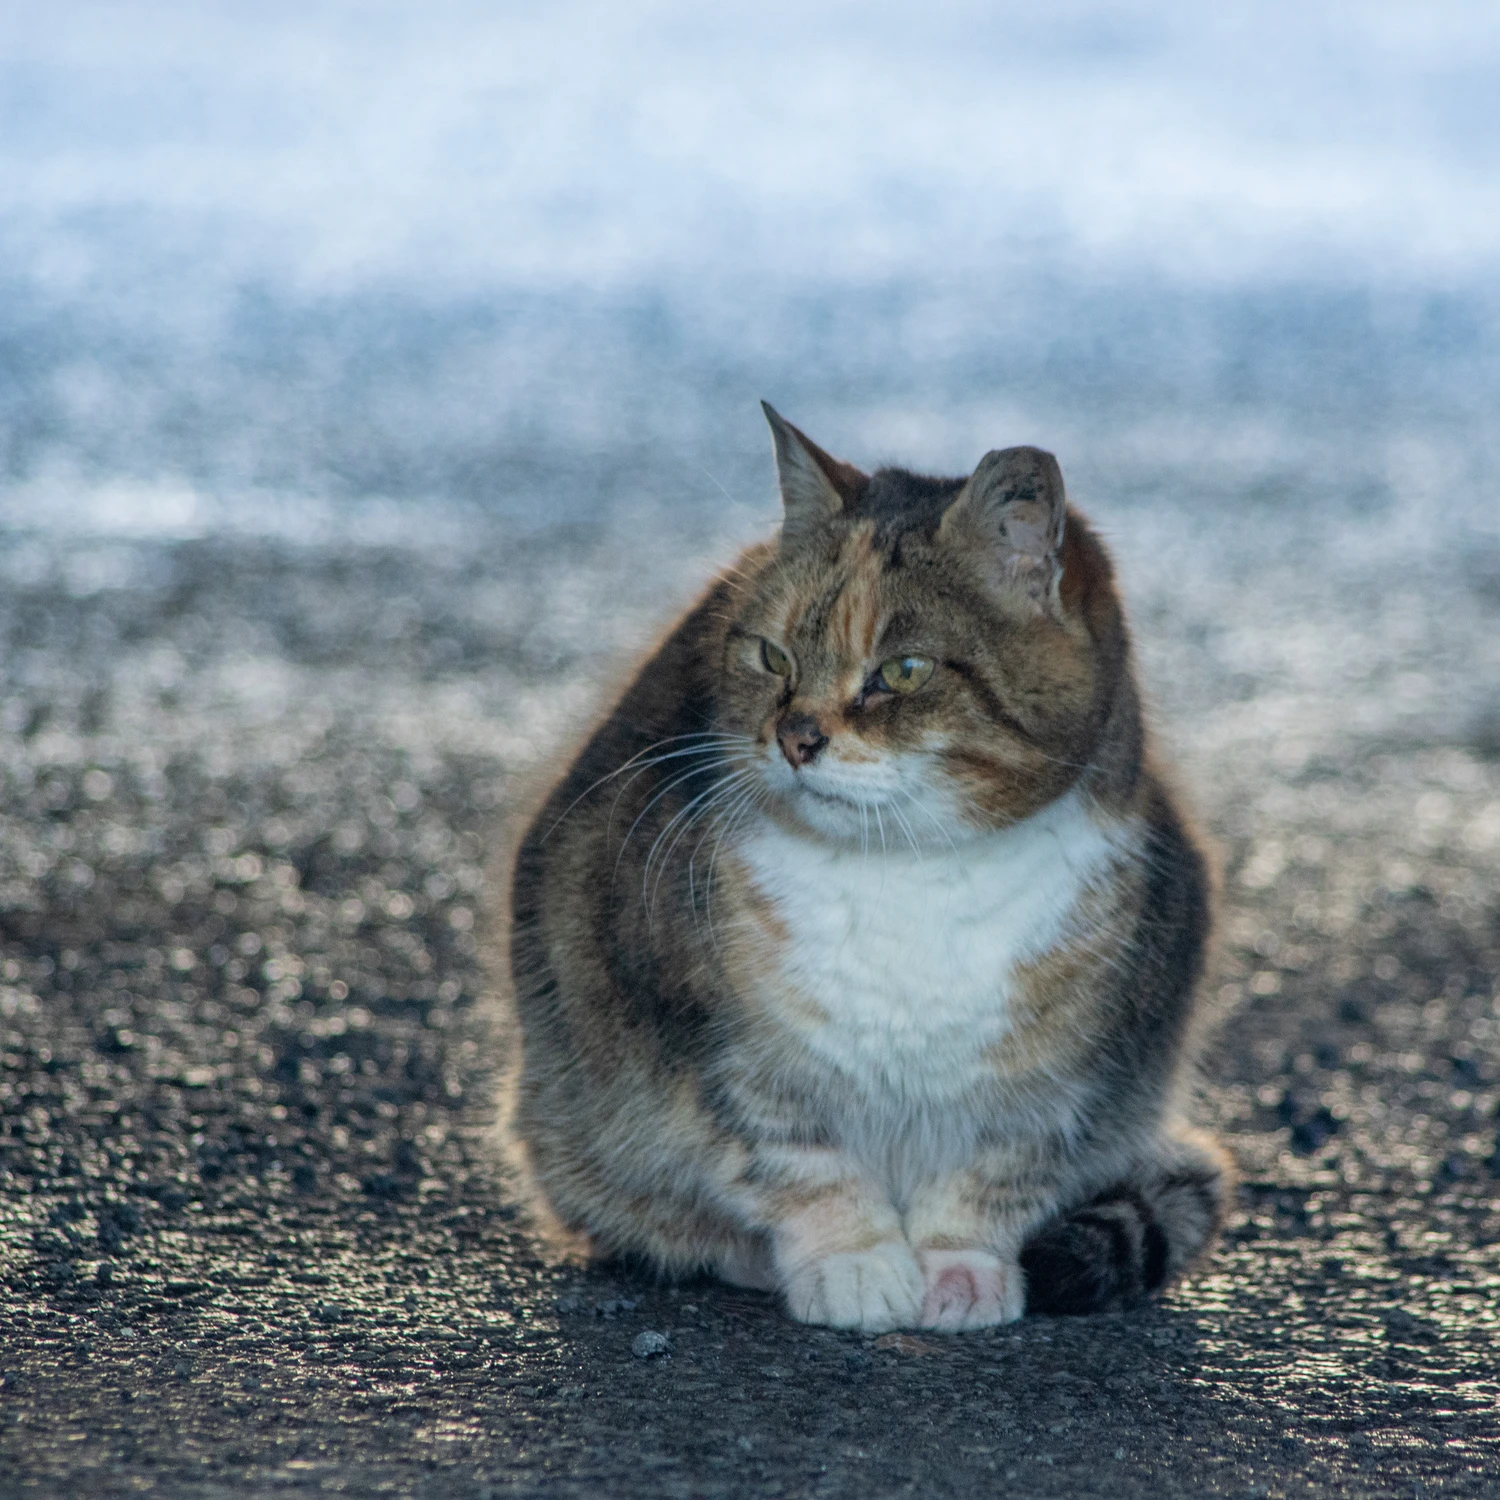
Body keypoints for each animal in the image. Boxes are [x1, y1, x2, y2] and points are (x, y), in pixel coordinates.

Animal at [498, 405, 1224, 1332]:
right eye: (771, 658)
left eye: (903, 670)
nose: (795, 736)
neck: (911, 878)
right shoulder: (722, 1053)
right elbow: (800, 1164)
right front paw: (856, 1266)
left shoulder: (1065, 1085)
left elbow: (993, 1177)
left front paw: (961, 1273)